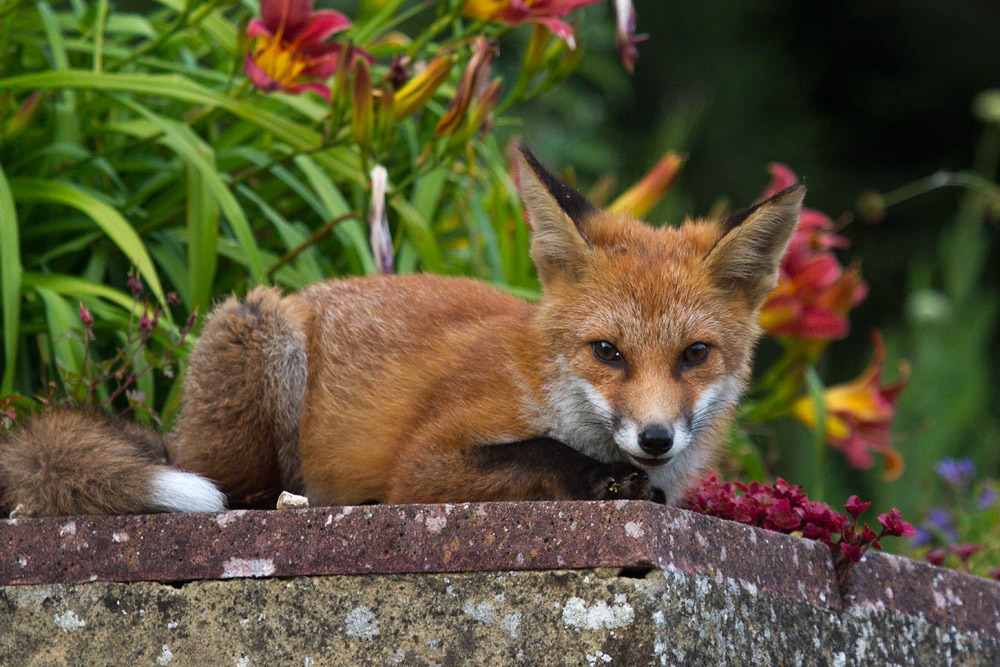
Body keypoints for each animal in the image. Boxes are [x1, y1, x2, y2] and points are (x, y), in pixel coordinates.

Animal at [0, 145, 803, 517]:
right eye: (607, 352)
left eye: (695, 354)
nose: (656, 440)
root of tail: (176, 436)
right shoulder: (425, 465)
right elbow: (537, 450)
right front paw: (598, 477)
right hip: (259, 336)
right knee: (246, 491)